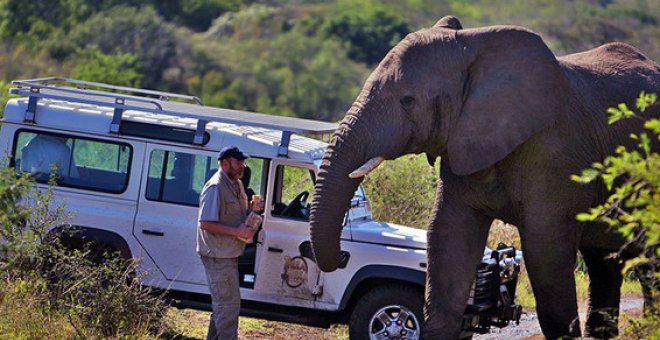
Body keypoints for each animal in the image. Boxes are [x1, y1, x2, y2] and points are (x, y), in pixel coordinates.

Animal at [310, 15, 660, 338]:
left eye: (407, 101)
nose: (341, 256)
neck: (475, 51)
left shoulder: (555, 152)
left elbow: (545, 252)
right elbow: (448, 241)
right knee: (605, 264)